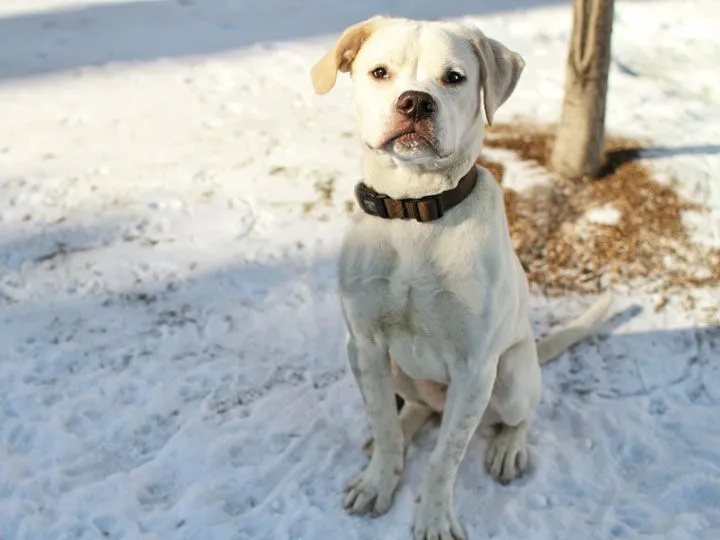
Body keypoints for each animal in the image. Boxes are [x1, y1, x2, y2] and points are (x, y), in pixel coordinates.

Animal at [310, 16, 612, 540]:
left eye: (454, 78)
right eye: (379, 72)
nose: (415, 101)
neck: (414, 213)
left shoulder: (474, 369)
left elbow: (446, 457)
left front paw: (433, 518)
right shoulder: (365, 346)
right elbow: (384, 423)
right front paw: (378, 482)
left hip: (509, 376)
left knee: (521, 414)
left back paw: (508, 448)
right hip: (395, 369)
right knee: (413, 410)